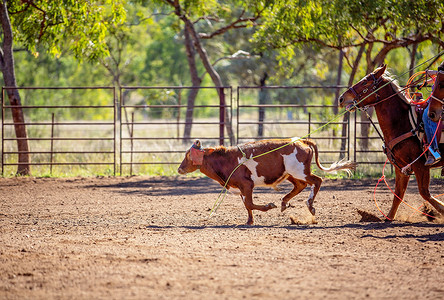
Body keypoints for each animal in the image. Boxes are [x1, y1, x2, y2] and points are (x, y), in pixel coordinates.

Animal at [179, 138, 356, 225]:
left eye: (188, 155)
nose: (179, 169)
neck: (226, 160)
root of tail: (302, 142)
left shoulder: (246, 185)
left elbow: (250, 204)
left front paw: (268, 206)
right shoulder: (242, 188)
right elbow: (247, 205)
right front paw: (249, 221)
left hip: (299, 171)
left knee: (316, 181)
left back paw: (310, 205)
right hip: (291, 173)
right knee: (301, 185)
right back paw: (284, 202)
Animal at [338, 65, 442, 220]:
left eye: (365, 82)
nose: (341, 98)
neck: (403, 122)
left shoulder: (419, 165)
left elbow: (425, 193)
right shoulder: (401, 167)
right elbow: (398, 194)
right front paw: (388, 217)